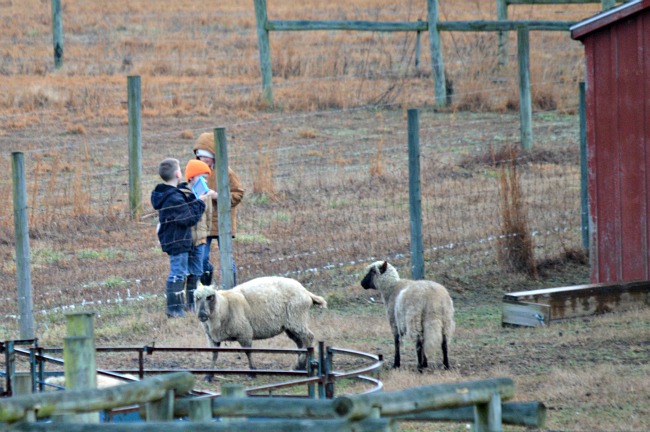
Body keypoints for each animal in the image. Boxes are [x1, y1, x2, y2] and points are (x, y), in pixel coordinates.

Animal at [194, 276, 327, 381]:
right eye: (197, 298)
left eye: (210, 297)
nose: (202, 315)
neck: (223, 306)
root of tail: (306, 291)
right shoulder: (212, 337)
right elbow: (214, 355)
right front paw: (209, 376)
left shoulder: (244, 333)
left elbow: (248, 352)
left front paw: (252, 373)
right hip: (290, 326)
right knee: (300, 343)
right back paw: (300, 367)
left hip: (297, 319)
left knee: (308, 338)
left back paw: (300, 365)